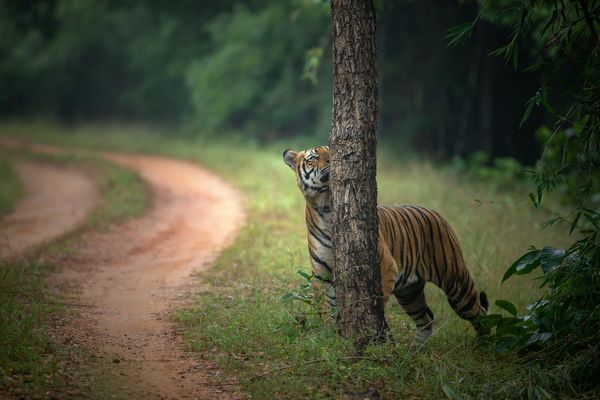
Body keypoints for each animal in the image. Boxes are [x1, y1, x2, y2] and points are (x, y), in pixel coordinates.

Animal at [284, 146, 490, 340]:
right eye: (313, 157)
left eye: (331, 150)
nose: (332, 160)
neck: (326, 208)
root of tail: (436, 213)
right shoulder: (322, 274)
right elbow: (327, 308)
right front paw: (330, 335)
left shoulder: (385, 266)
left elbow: (376, 299)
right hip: (410, 292)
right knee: (425, 317)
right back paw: (416, 350)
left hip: (455, 280)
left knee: (478, 313)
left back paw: (484, 345)